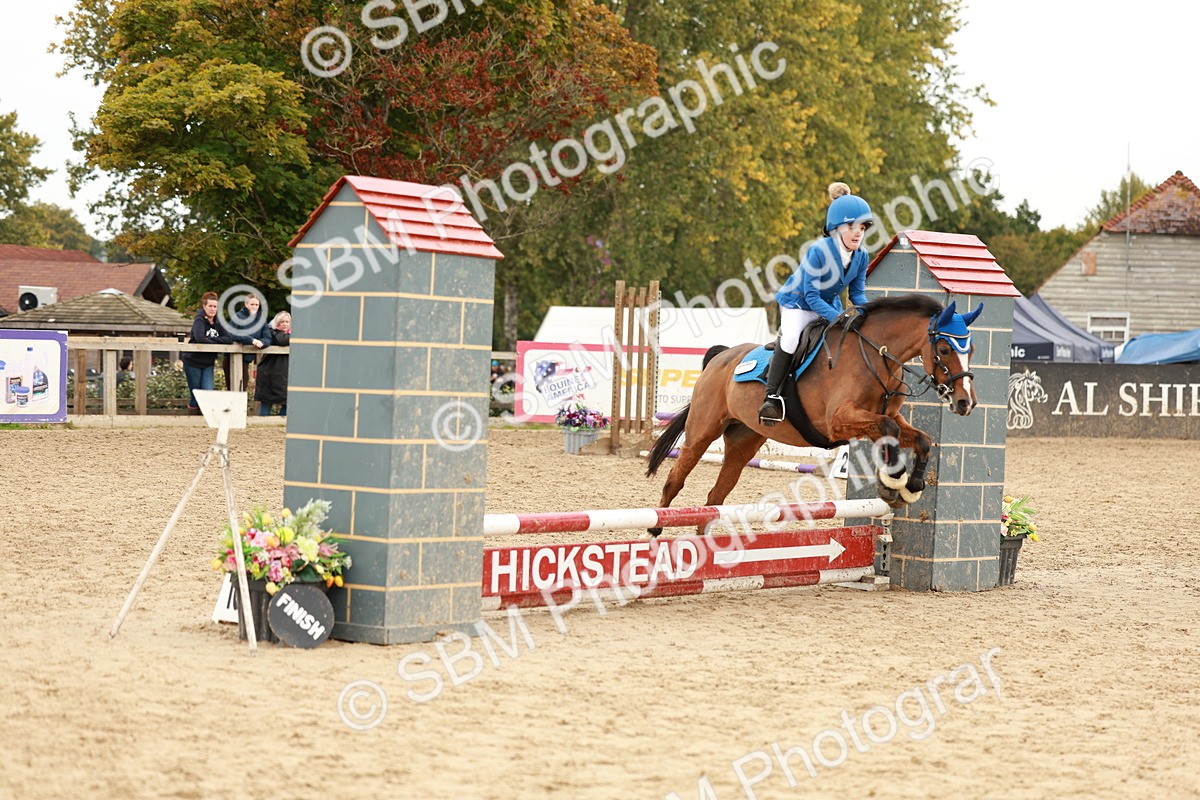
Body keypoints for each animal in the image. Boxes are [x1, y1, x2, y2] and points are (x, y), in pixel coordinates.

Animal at [645, 294, 982, 535]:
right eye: (944, 348)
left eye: (971, 349)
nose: (965, 402)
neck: (877, 356)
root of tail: (721, 357)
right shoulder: (838, 420)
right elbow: (890, 429)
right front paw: (893, 481)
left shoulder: (883, 418)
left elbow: (918, 438)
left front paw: (908, 486)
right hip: (703, 432)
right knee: (674, 481)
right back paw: (655, 530)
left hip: (743, 442)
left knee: (716, 497)